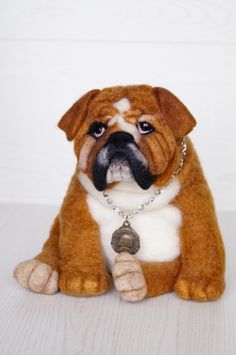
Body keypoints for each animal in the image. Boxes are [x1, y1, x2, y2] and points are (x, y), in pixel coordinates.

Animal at [13, 85, 226, 302]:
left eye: (145, 126)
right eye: (97, 129)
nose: (119, 136)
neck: (130, 192)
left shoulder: (196, 207)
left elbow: (202, 243)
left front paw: (199, 283)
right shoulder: (78, 204)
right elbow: (79, 240)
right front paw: (82, 278)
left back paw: (133, 275)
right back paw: (40, 268)